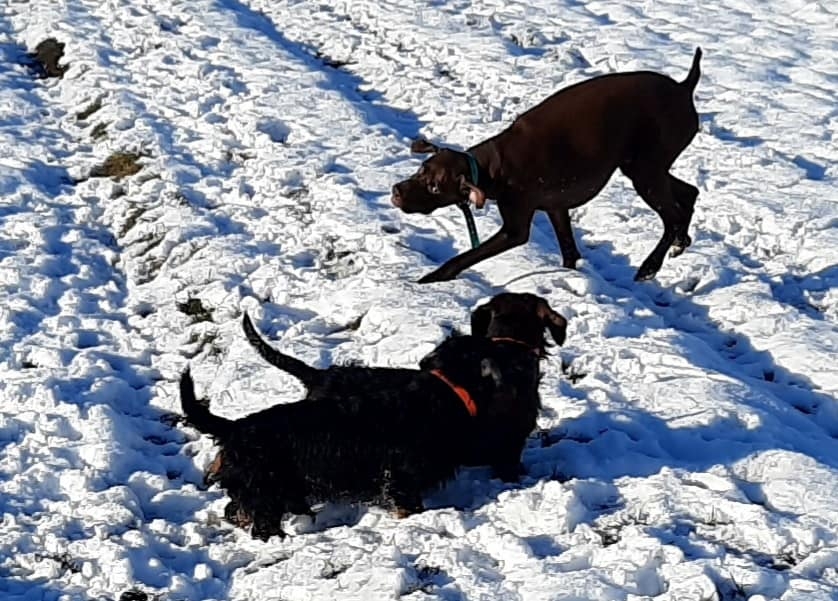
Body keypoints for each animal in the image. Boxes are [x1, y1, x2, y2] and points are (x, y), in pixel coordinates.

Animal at [181, 293, 567, 539]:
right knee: (260, 522)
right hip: (266, 489)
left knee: (235, 510)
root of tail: (234, 428)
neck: (446, 388)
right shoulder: (405, 477)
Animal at [391, 48, 703, 283]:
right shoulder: (557, 208)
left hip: (646, 172)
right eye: (420, 170)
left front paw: (431, 278)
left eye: (434, 187)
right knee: (689, 195)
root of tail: (683, 88)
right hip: (645, 168)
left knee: (673, 217)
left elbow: (463, 258)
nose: (395, 192)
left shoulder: (515, 230)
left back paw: (650, 266)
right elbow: (569, 251)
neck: (491, 167)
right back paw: (680, 243)